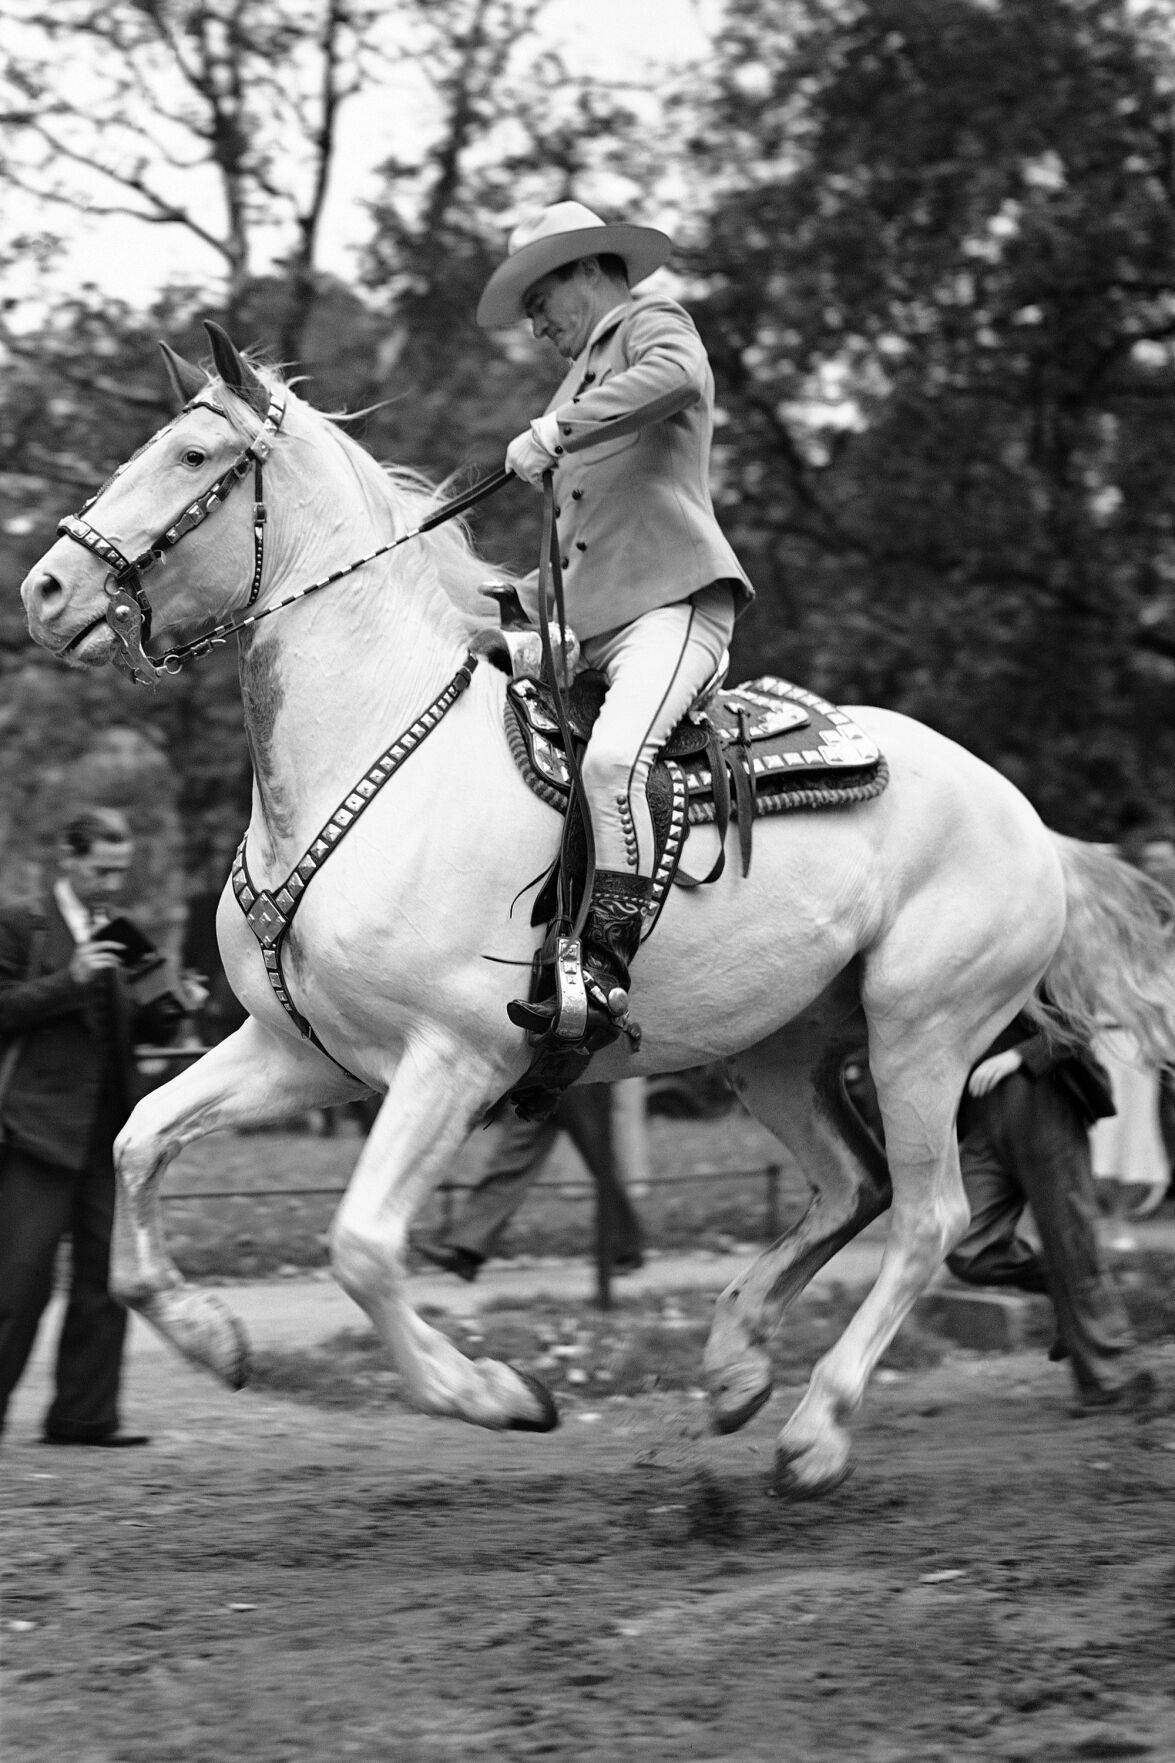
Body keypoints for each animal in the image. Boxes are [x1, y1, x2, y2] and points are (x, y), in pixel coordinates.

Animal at [20, 327, 1171, 1487]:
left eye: (194, 455)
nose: (44, 587)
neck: (372, 748)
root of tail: (1028, 819)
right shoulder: (301, 1051)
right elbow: (138, 1141)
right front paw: (211, 1335)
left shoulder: (452, 1060)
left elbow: (361, 1244)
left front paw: (495, 1393)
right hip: (779, 1048)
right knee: (855, 1187)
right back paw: (734, 1361)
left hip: (918, 1033)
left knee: (928, 1214)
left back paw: (815, 1426)